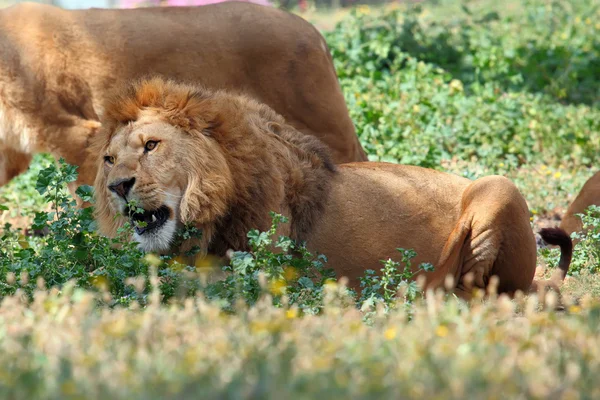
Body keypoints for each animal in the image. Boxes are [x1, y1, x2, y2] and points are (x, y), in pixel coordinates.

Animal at [94, 77, 572, 296]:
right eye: (109, 159)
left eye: (152, 145)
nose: (118, 187)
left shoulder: (264, 272)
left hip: (497, 186)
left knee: (479, 288)